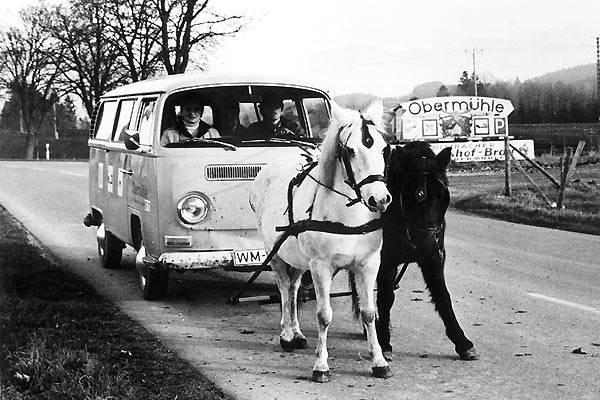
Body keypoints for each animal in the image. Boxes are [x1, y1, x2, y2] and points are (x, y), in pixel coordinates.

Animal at [251, 99, 392, 382]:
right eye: (350, 150)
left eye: (384, 149)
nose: (380, 199)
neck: (348, 217)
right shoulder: (320, 267)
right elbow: (324, 315)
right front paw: (321, 365)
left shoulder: (369, 264)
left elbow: (369, 313)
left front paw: (379, 361)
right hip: (277, 255)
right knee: (284, 289)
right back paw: (286, 334)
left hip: (298, 260)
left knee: (294, 288)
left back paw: (296, 333)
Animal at [376, 141, 478, 362]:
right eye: (408, 195)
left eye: (442, 196)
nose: (427, 244)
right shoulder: (386, 260)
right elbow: (386, 297)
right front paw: (384, 341)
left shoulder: (434, 260)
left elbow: (443, 296)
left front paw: (462, 342)